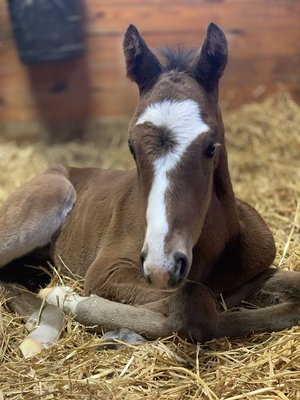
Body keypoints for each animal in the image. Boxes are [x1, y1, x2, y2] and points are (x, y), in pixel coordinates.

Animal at [0, 22, 300, 356]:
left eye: (211, 146)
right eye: (131, 146)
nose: (162, 266)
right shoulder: (107, 270)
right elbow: (195, 305)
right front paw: (68, 298)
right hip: (46, 201)